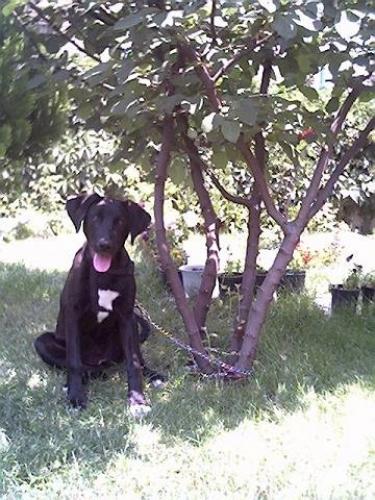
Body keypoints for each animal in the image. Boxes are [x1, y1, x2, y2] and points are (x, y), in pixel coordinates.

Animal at [35, 193, 164, 416]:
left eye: (119, 221)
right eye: (95, 218)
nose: (104, 244)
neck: (105, 274)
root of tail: (101, 360)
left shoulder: (127, 317)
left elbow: (133, 362)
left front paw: (137, 400)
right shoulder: (73, 314)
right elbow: (74, 362)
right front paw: (76, 396)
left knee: (135, 358)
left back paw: (151, 374)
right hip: (43, 341)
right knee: (80, 365)